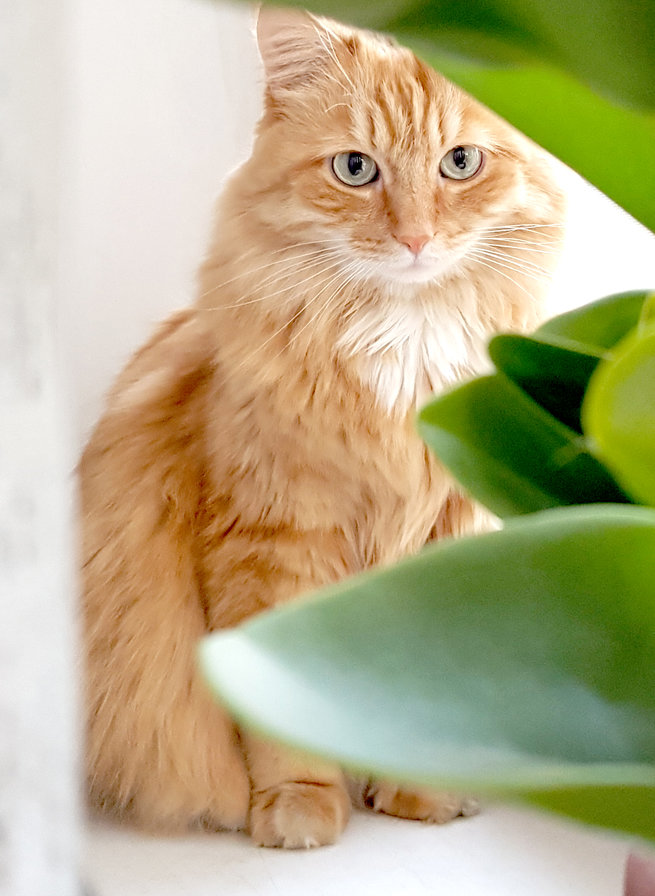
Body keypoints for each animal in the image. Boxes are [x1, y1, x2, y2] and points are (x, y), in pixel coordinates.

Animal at [79, 6, 566, 848]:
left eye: (460, 163)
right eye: (355, 170)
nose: (414, 239)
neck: (404, 351)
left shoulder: (450, 533)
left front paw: (416, 795)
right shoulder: (274, 538)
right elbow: (277, 722)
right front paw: (298, 808)